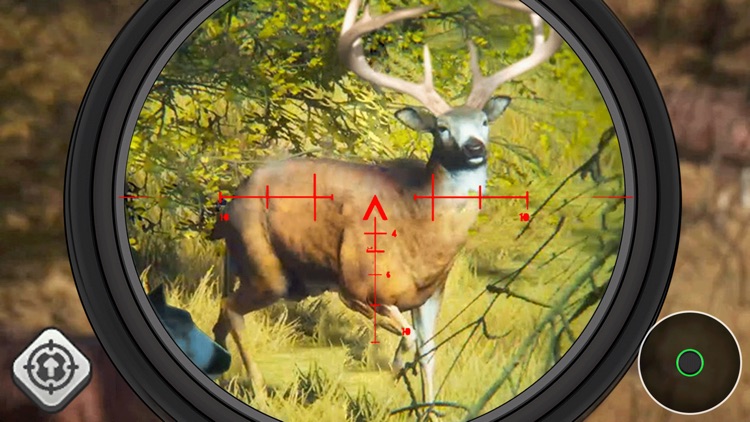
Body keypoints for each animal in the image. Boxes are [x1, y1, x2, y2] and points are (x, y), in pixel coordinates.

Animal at [209, 0, 562, 411]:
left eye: (485, 121)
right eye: (441, 127)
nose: (474, 147)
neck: (419, 228)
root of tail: (228, 204)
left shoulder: (431, 293)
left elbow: (429, 353)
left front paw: (428, 410)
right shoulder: (355, 286)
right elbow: (407, 337)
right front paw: (395, 367)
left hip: (272, 274)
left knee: (221, 315)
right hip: (265, 265)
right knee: (231, 310)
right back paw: (260, 393)